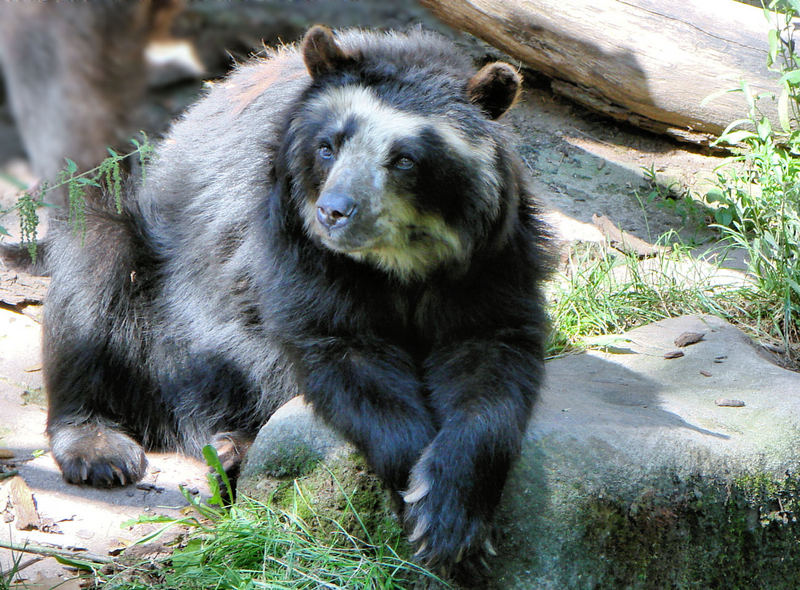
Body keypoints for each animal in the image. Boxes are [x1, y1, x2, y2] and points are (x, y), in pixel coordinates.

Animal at [36, 25, 552, 576]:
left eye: (404, 159)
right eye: (328, 147)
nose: (334, 212)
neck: (396, 262)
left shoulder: (492, 257)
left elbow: (492, 353)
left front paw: (451, 517)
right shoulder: (287, 236)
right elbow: (336, 345)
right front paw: (417, 497)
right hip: (140, 262)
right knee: (92, 277)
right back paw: (108, 451)